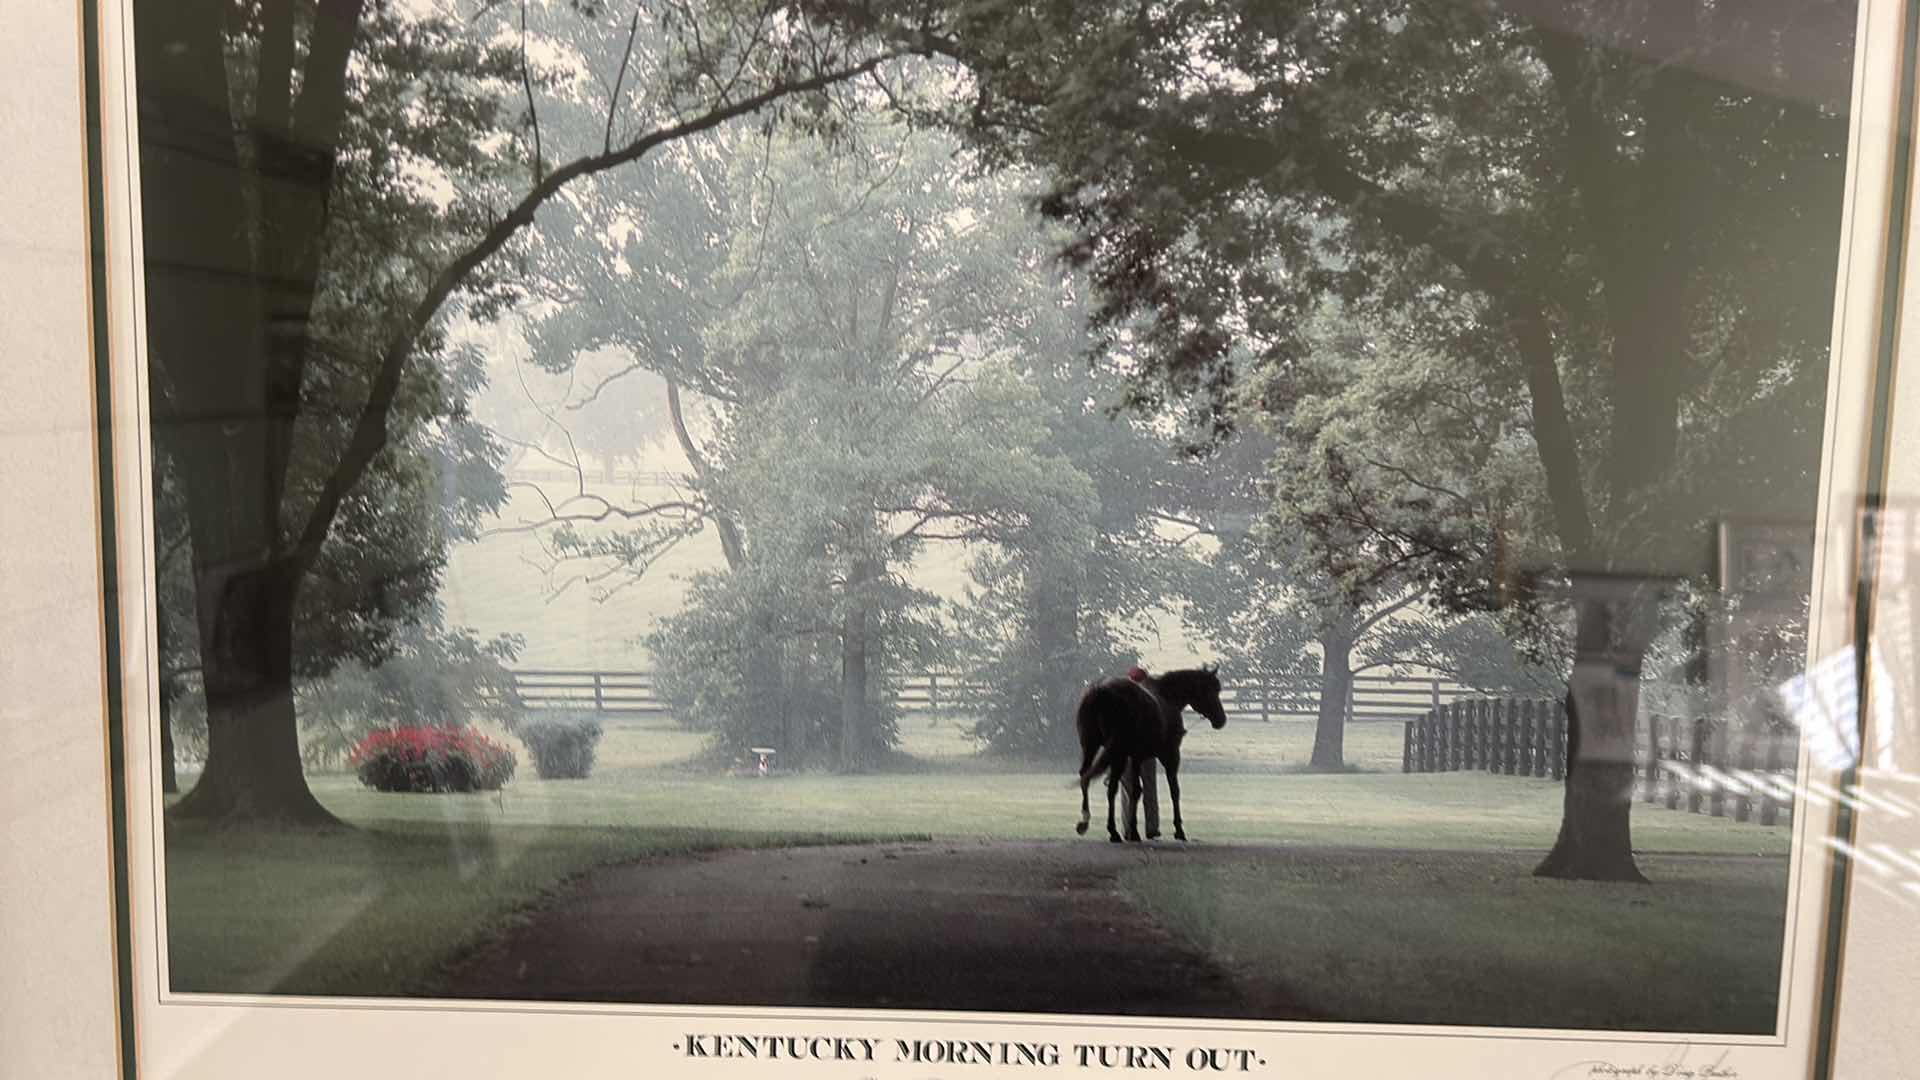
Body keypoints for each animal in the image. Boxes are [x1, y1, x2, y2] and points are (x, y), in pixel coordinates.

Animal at [1067, 664, 1228, 841]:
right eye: (1210, 690)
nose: (1221, 719)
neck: (1167, 697)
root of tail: (1100, 691)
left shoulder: (1133, 757)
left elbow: (1132, 790)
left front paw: (1131, 830)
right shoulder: (1168, 756)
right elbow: (1172, 791)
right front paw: (1177, 830)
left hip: (1094, 747)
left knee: (1090, 778)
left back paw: (1095, 825)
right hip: (1116, 752)